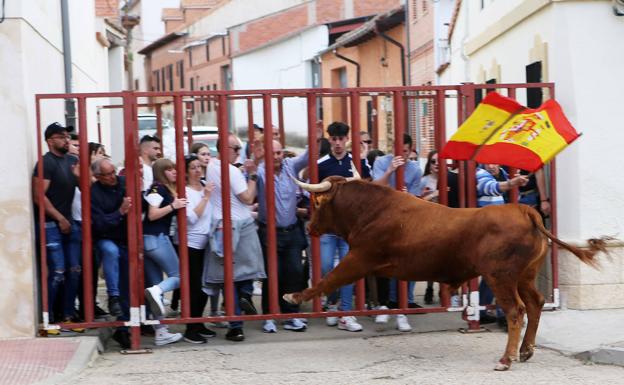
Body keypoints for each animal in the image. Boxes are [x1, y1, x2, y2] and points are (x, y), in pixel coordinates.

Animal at [286, 176, 608, 368]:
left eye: (317, 203)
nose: (310, 226)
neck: (372, 210)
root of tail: (525, 212)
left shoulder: (359, 258)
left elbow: (329, 279)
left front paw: (294, 296)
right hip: (524, 276)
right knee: (536, 303)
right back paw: (526, 351)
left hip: (501, 277)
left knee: (516, 310)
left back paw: (506, 359)